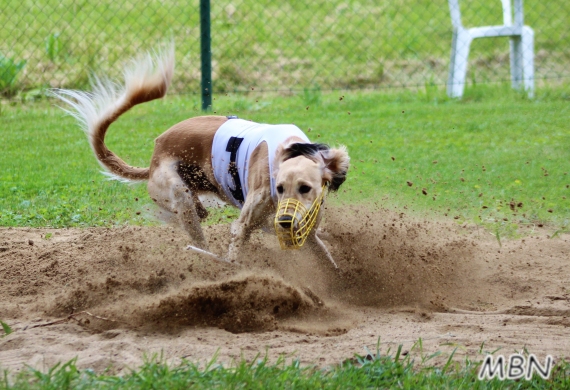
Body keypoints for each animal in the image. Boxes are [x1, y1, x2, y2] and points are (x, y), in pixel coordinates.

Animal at [52, 43, 346, 268]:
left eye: (305, 188)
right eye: (280, 187)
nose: (285, 222)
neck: (290, 148)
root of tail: (154, 157)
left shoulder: (307, 231)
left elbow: (326, 259)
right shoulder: (246, 222)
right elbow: (237, 247)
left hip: (194, 201)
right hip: (180, 195)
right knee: (198, 234)